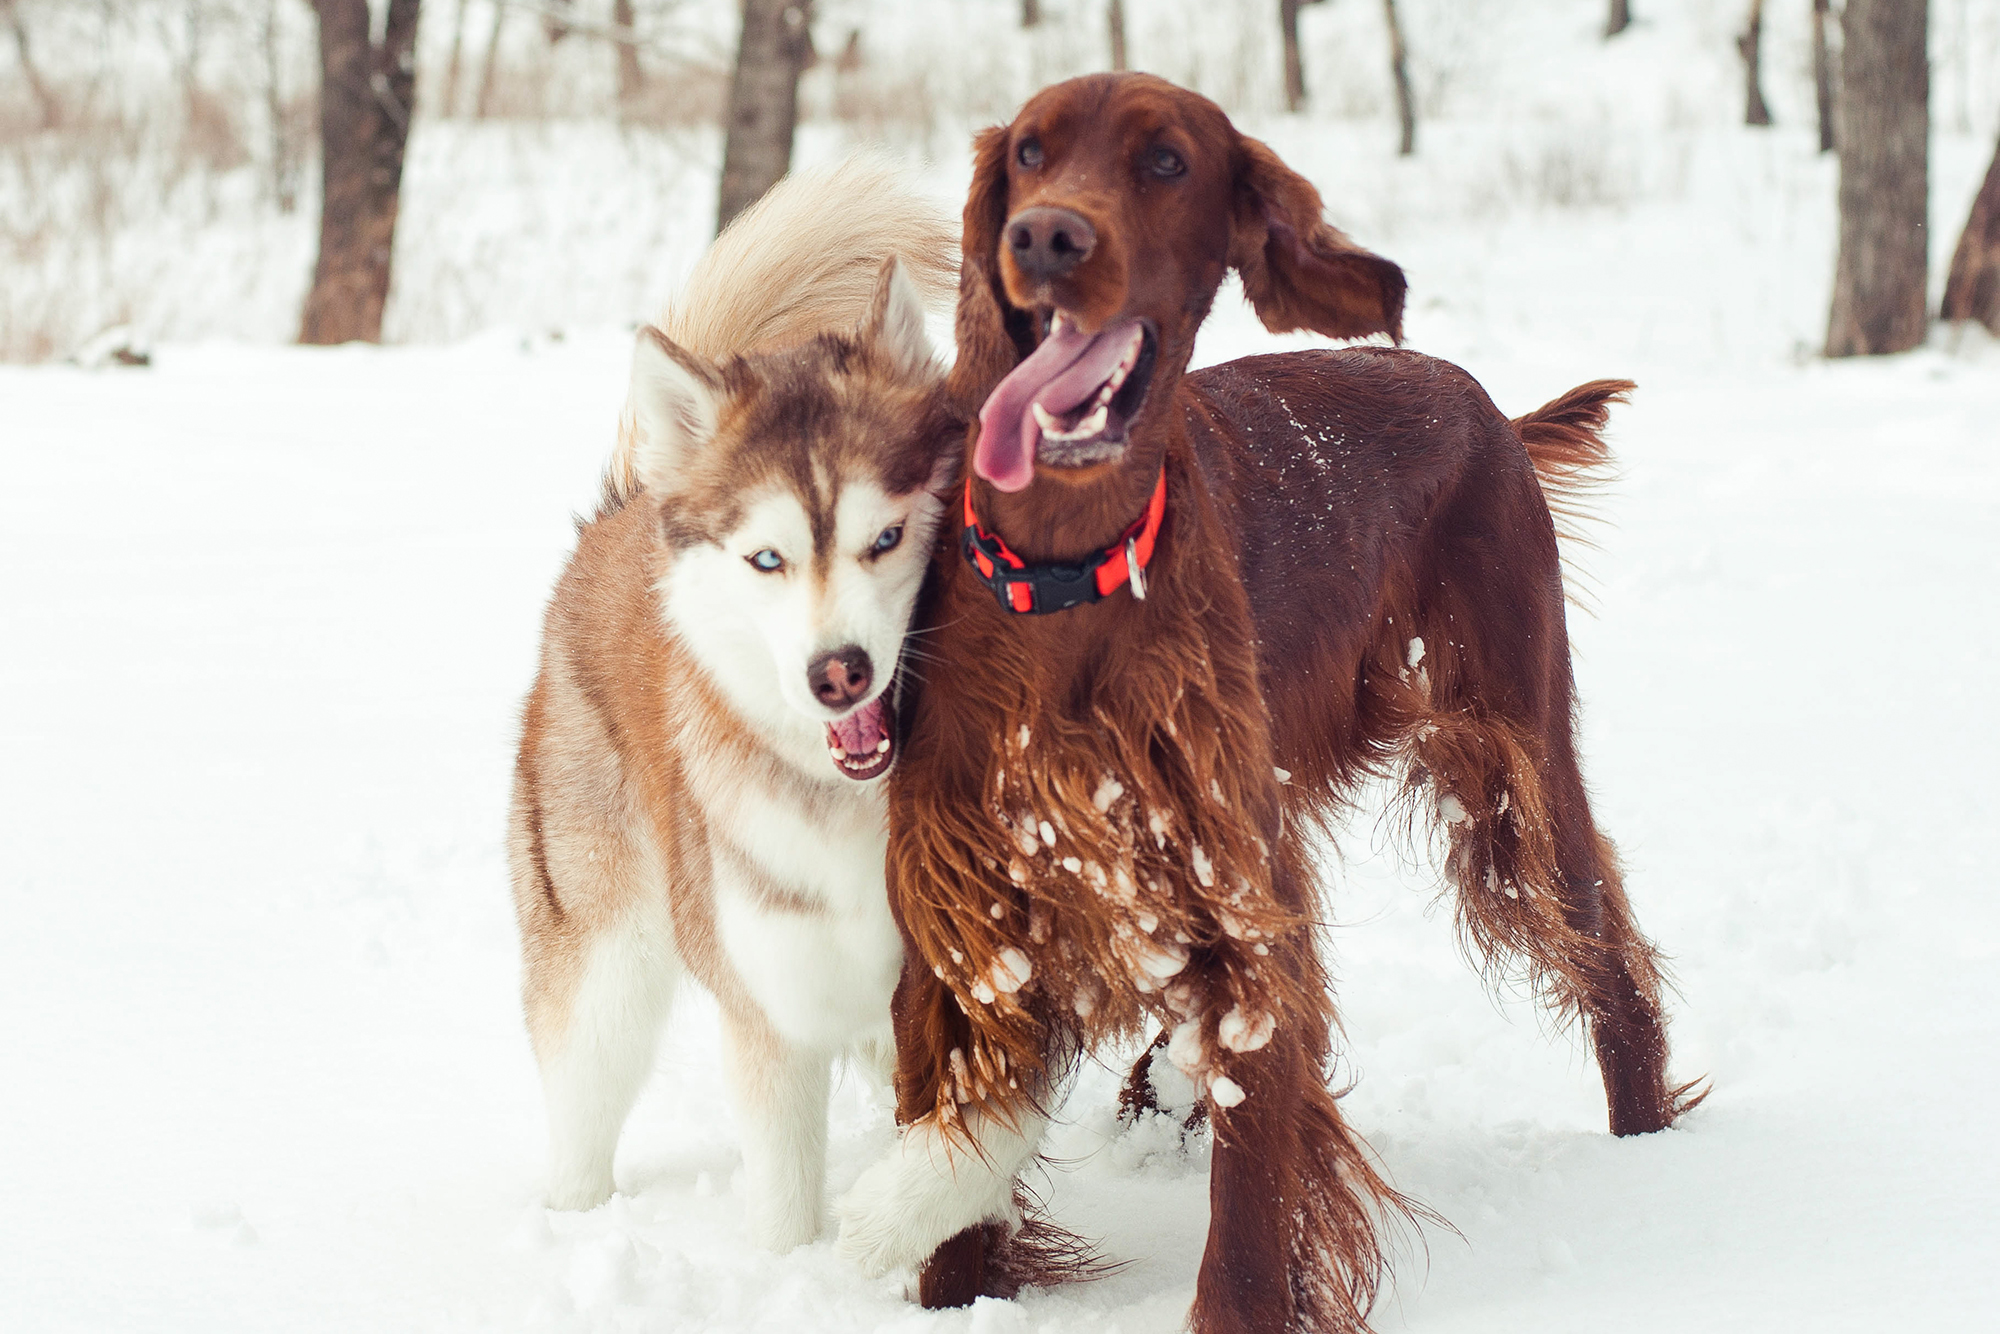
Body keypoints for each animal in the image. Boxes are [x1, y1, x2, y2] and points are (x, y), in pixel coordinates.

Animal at [508, 159, 960, 1256]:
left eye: (886, 537)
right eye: (767, 558)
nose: (839, 673)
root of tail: (624, 508)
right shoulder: (773, 1020)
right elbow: (787, 1209)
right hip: (607, 968)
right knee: (582, 1102)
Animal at [836, 75, 1696, 1334]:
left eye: (1163, 161)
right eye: (1030, 151)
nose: (1042, 238)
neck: (1063, 575)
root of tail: (1478, 398)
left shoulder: (1240, 890)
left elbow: (1250, 1206)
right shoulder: (966, 910)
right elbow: (956, 1194)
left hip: (1515, 756)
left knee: (1605, 951)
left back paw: (1647, 1157)